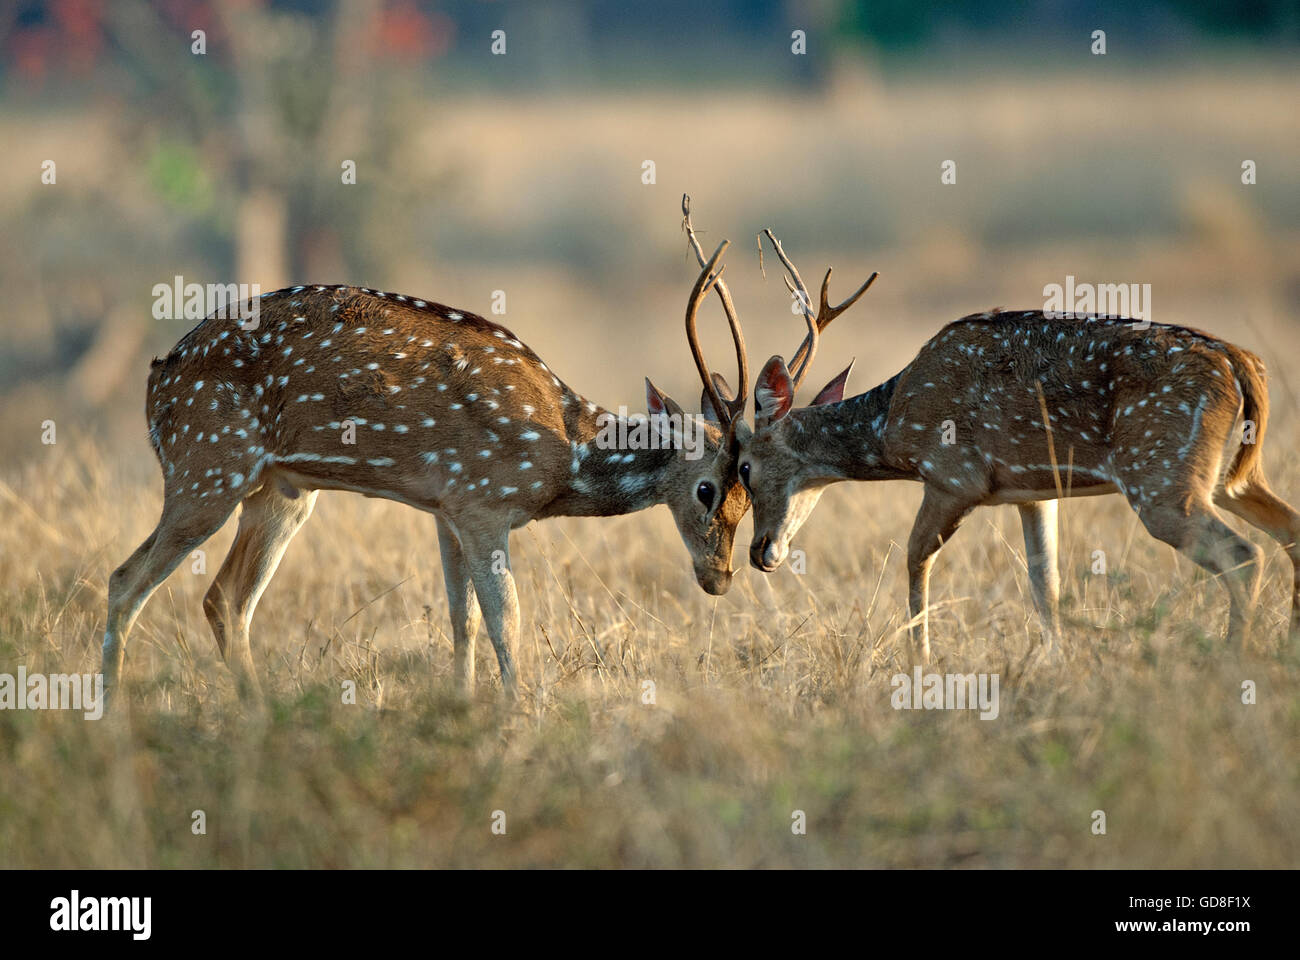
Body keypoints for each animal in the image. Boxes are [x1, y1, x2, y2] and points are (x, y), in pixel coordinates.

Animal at [101, 197, 751, 704]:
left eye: (749, 496)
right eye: (707, 488)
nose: (720, 577)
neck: (562, 456)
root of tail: (156, 381)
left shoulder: (447, 511)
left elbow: (463, 620)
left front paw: (463, 709)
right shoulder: (484, 502)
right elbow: (506, 620)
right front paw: (517, 716)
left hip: (281, 492)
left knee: (225, 600)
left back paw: (256, 713)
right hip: (206, 468)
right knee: (125, 579)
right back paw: (112, 718)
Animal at [727, 228, 1300, 663]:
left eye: (744, 468)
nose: (759, 552)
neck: (894, 427)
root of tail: (1240, 363)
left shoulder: (953, 476)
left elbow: (914, 559)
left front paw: (920, 659)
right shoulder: (1034, 491)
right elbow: (1045, 583)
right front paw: (1057, 662)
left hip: (1161, 475)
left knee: (1245, 555)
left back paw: (1232, 662)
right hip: (1231, 477)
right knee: (1289, 529)